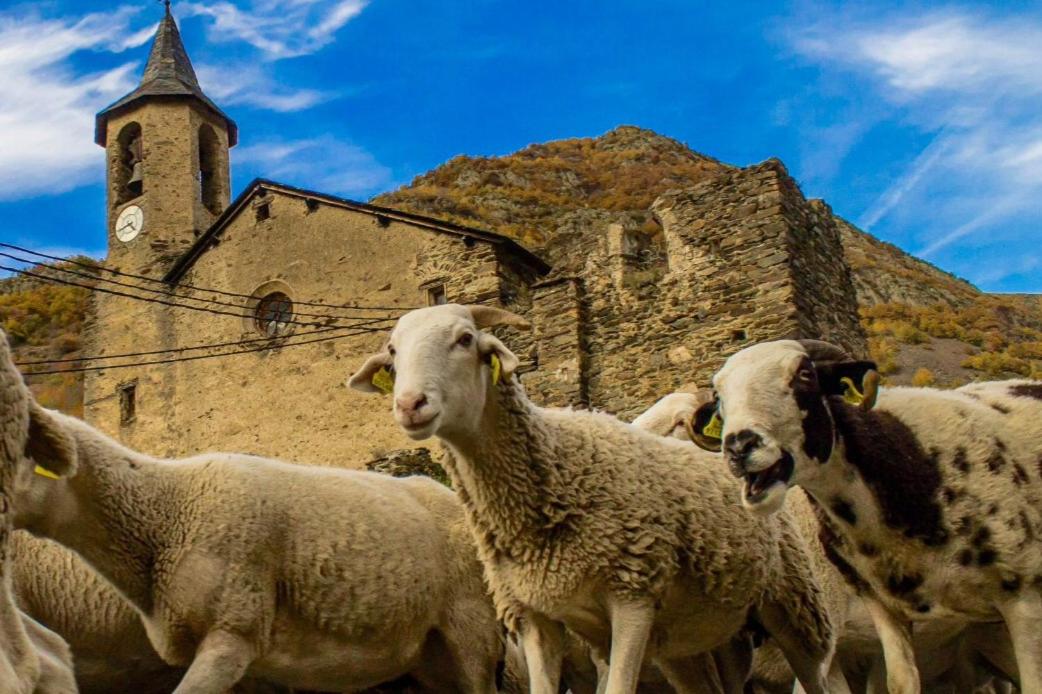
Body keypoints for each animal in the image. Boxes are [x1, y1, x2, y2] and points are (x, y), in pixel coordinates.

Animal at [348, 303, 835, 694]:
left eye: (465, 339)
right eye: (393, 352)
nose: (410, 405)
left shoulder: (632, 600)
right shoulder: (535, 618)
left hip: (792, 603)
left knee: (814, 676)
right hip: (700, 636)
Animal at [687, 338, 1042, 694]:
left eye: (805, 374)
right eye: (718, 397)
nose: (738, 446)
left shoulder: (1024, 600)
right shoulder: (884, 610)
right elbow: (901, 684)